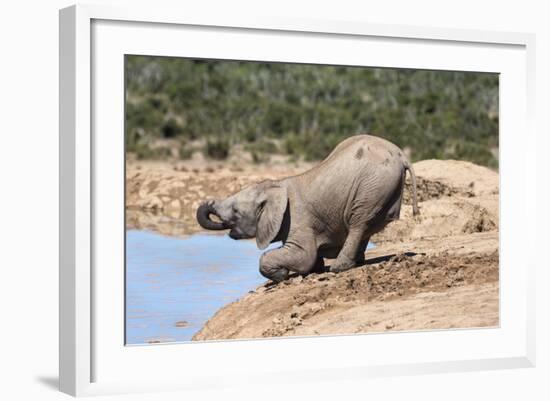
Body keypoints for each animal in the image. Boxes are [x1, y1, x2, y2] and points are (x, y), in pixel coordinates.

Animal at [196, 134, 420, 282]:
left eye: (236, 212)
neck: (274, 185)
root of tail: (401, 154)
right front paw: (314, 270)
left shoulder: (298, 219)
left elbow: (303, 255)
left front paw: (282, 275)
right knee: (366, 226)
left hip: (372, 185)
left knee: (359, 223)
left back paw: (339, 268)